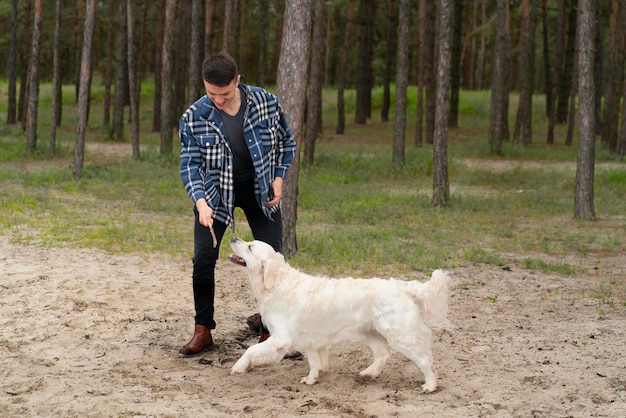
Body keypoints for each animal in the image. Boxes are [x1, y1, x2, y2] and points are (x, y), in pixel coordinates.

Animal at [227, 238, 450, 392]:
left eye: (250, 247)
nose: (234, 238)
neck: (276, 283)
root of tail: (402, 286)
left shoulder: (281, 337)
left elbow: (251, 349)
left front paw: (239, 366)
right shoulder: (311, 339)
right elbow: (314, 362)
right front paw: (312, 379)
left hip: (401, 335)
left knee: (426, 360)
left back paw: (430, 386)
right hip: (370, 332)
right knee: (383, 354)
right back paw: (368, 373)